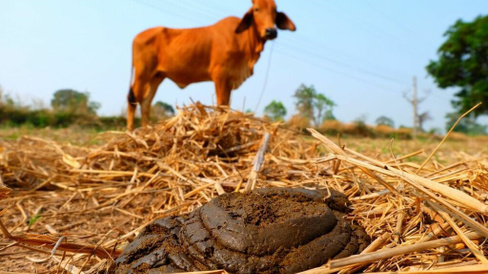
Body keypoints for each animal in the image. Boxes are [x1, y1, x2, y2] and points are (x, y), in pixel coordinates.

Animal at [126, 0, 294, 130]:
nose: (271, 31)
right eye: (256, 9)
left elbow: (226, 106)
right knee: (133, 99)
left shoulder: (229, 80)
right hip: (142, 73)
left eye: (275, 11)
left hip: (157, 77)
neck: (244, 41)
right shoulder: (220, 76)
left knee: (145, 102)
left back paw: (145, 130)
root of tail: (136, 36)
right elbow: (221, 105)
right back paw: (130, 131)